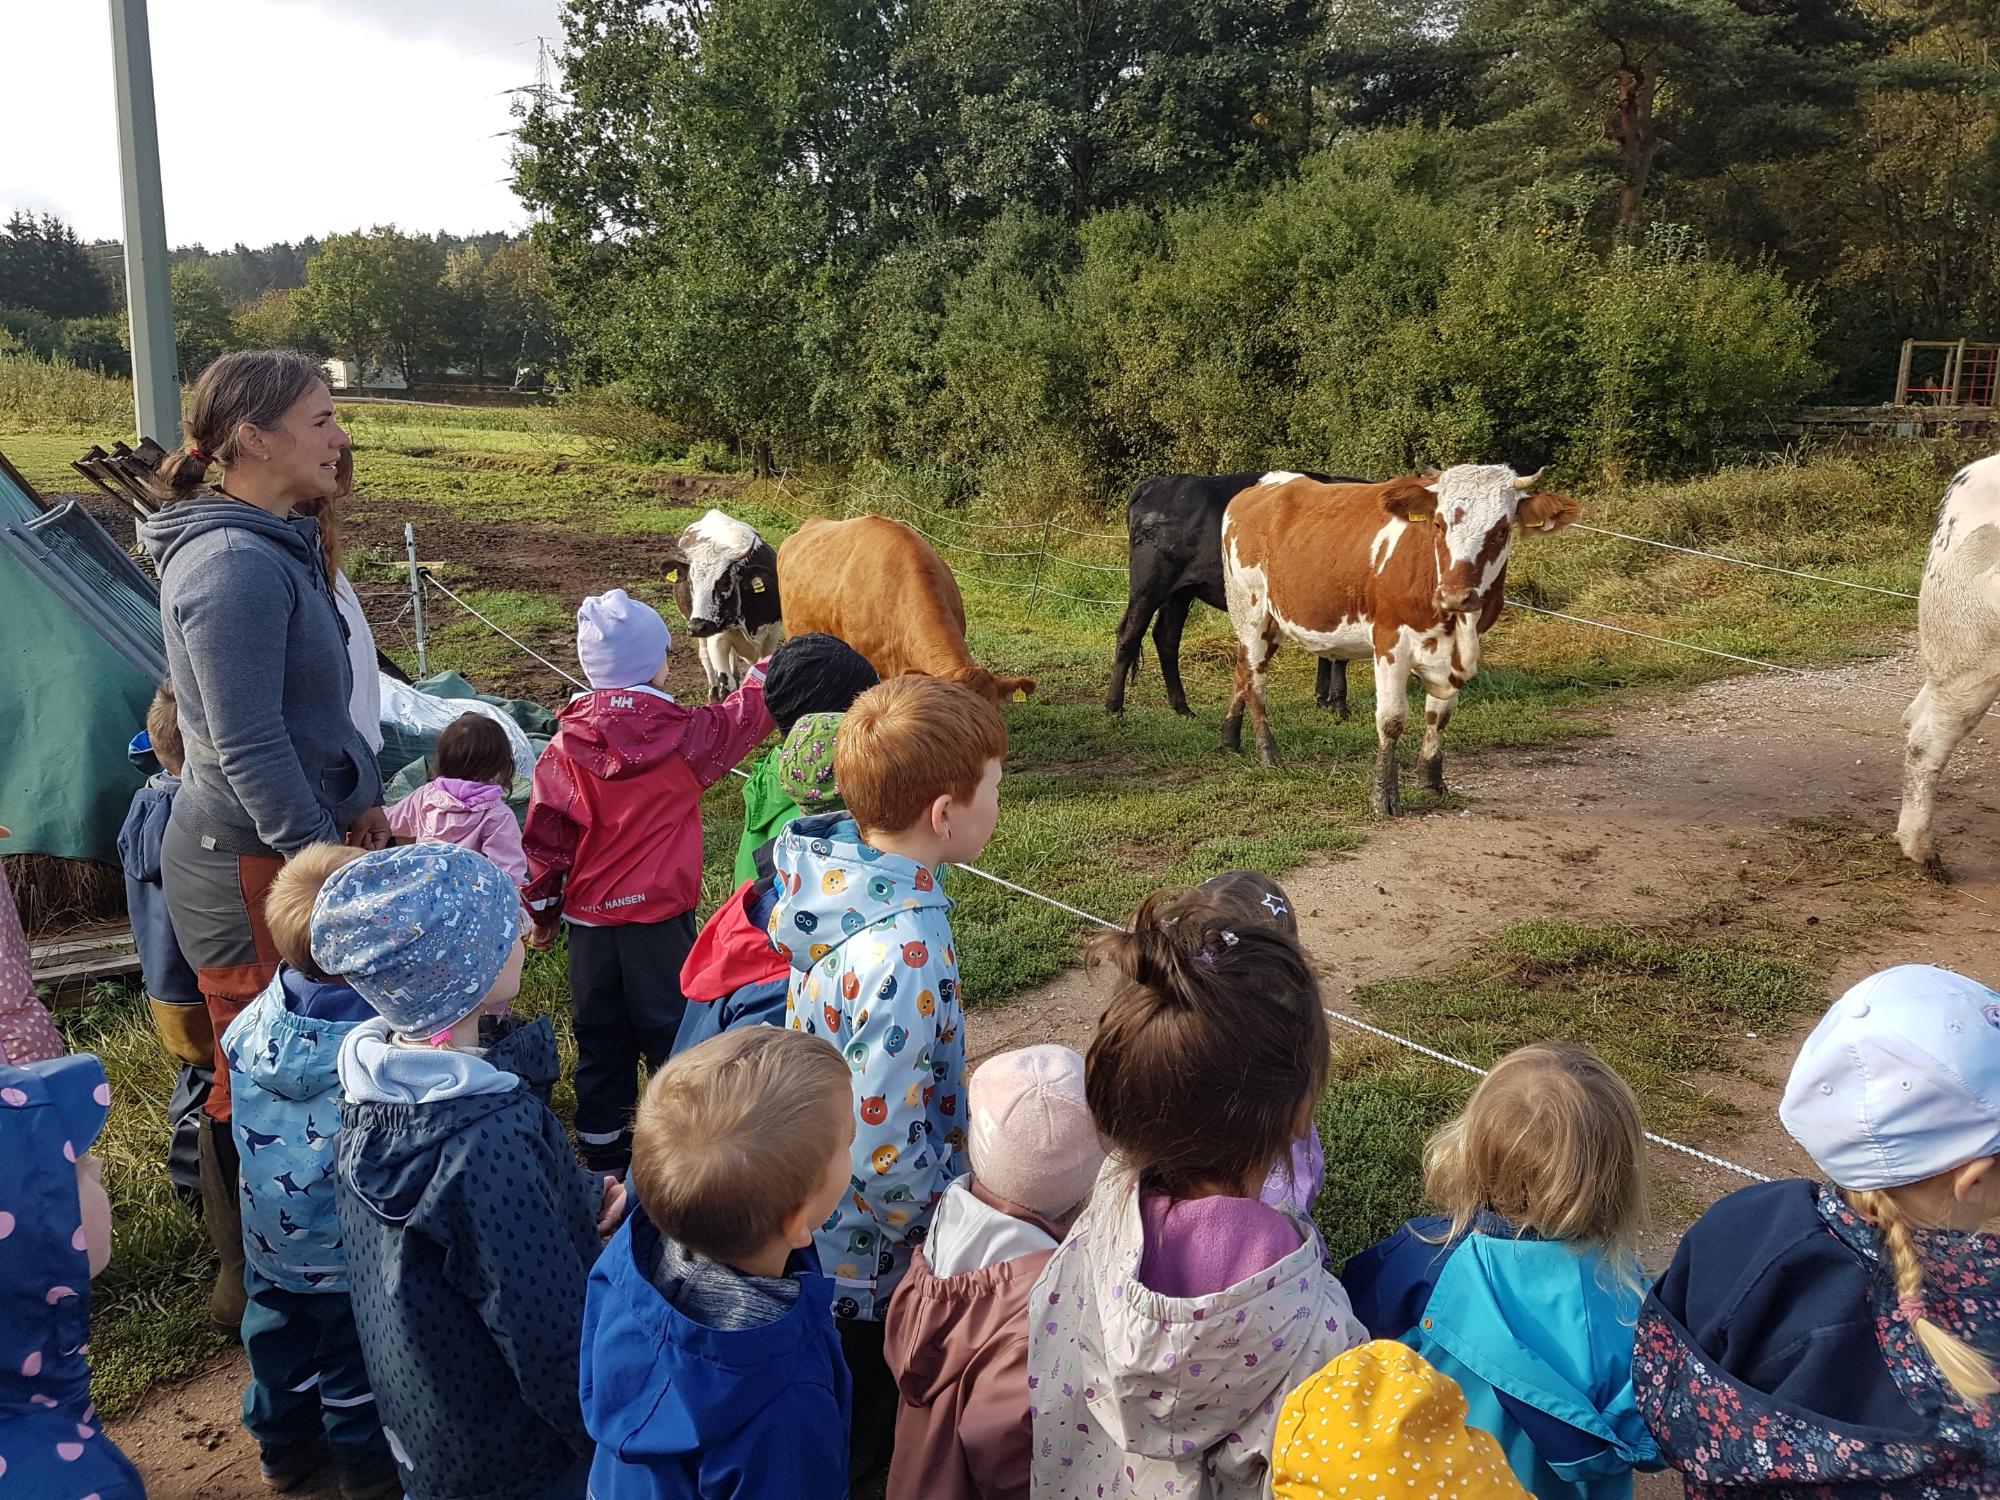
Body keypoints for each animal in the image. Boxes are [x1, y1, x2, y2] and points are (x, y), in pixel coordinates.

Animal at [1104, 476, 1368, 724]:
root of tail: (1155, 484)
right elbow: (1340, 657)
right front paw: (1340, 706)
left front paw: (1325, 700)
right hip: (1150, 584)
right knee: (1129, 635)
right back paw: (1114, 706)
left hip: (1180, 592)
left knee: (1166, 638)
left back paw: (1182, 708)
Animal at [1216, 470, 1576, 824]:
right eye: (1438, 524)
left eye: (1501, 530)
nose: (1455, 595)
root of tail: (1264, 484)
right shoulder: (1390, 641)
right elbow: (1391, 719)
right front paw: (1384, 796)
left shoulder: (1454, 654)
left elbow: (1439, 716)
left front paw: (1431, 780)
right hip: (1251, 610)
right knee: (1256, 683)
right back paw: (1268, 753)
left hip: (1268, 623)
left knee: (1241, 671)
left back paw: (1230, 740)